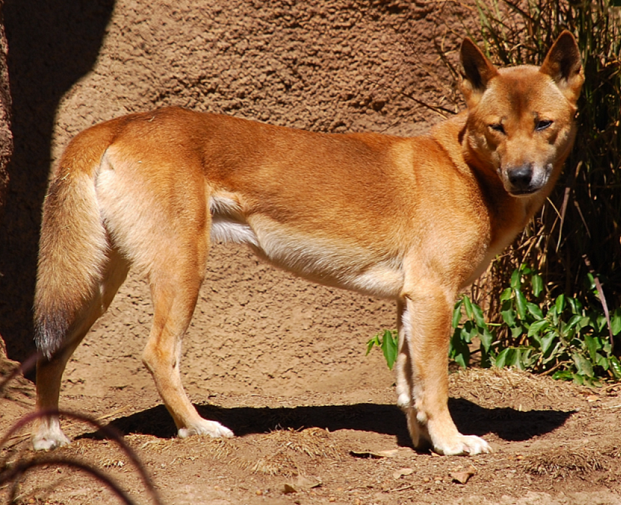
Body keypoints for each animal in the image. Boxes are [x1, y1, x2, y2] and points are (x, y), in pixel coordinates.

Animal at [31, 32, 580, 456]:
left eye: (543, 124)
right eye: (497, 128)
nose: (521, 176)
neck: (467, 169)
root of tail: (118, 122)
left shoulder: (412, 300)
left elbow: (409, 387)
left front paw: (421, 442)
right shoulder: (435, 296)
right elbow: (435, 385)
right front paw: (452, 442)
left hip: (97, 284)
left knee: (50, 354)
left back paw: (47, 436)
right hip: (181, 268)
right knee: (158, 353)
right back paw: (198, 427)